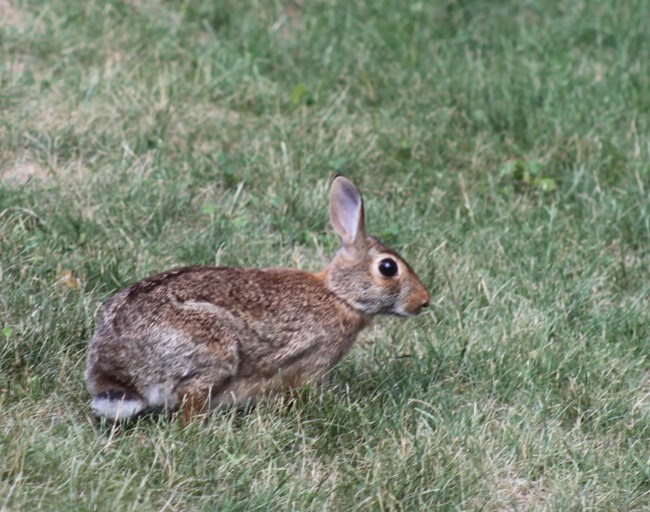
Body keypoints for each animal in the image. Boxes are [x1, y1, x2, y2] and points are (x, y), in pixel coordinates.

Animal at [86, 174, 430, 422]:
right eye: (388, 268)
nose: (424, 301)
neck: (339, 295)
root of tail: (118, 370)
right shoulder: (308, 361)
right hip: (213, 347)